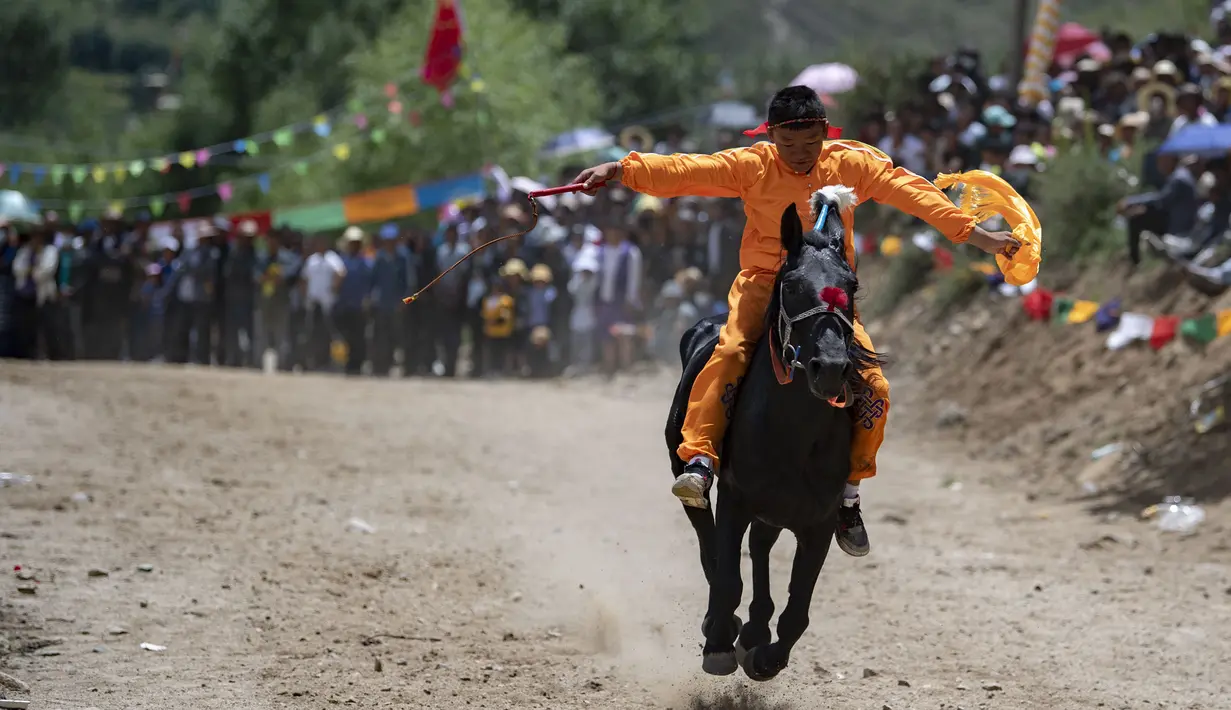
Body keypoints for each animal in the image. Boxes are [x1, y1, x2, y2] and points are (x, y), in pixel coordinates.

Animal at [669, 184, 881, 679]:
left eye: (851, 285)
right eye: (791, 285)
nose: (830, 367)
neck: (793, 434)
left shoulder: (817, 521)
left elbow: (798, 606)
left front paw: (766, 654)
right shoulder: (735, 498)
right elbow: (726, 574)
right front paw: (719, 642)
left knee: (762, 547)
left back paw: (754, 628)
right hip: (690, 475)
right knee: (709, 542)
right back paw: (726, 624)